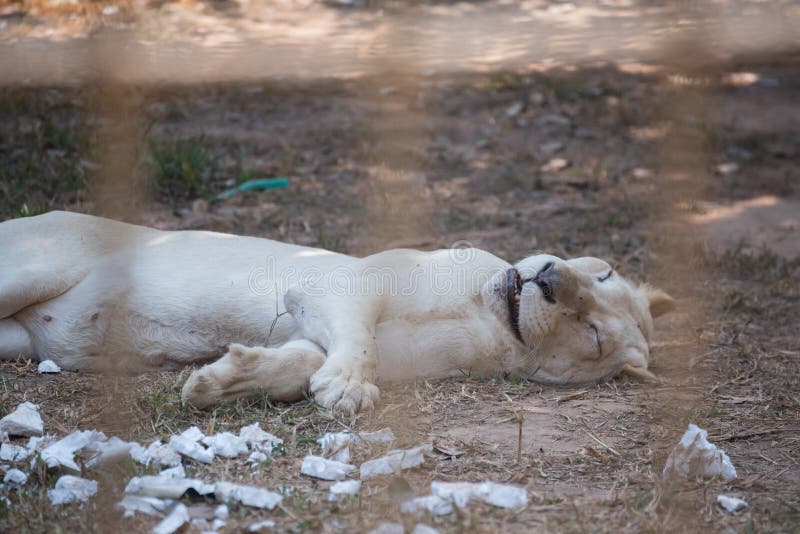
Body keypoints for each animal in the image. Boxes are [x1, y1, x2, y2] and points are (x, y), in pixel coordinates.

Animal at [0, 211, 674, 414]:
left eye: (592, 334)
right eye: (600, 271)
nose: (551, 277)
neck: (491, 321)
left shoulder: (313, 328)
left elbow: (297, 364)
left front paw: (218, 382)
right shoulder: (340, 281)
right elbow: (360, 337)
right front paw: (348, 387)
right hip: (28, 270)